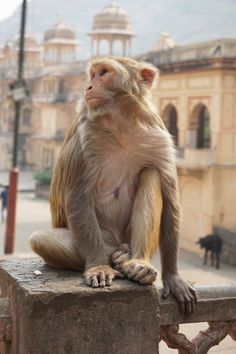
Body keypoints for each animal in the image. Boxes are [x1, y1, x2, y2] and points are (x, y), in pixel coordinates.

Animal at [30, 56, 198, 314]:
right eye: (92, 74)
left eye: (104, 72)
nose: (88, 87)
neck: (122, 123)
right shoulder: (85, 138)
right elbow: (78, 197)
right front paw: (98, 267)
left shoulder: (158, 136)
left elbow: (170, 201)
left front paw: (174, 277)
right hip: (102, 236)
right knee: (41, 239)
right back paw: (116, 258)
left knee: (151, 174)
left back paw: (136, 261)